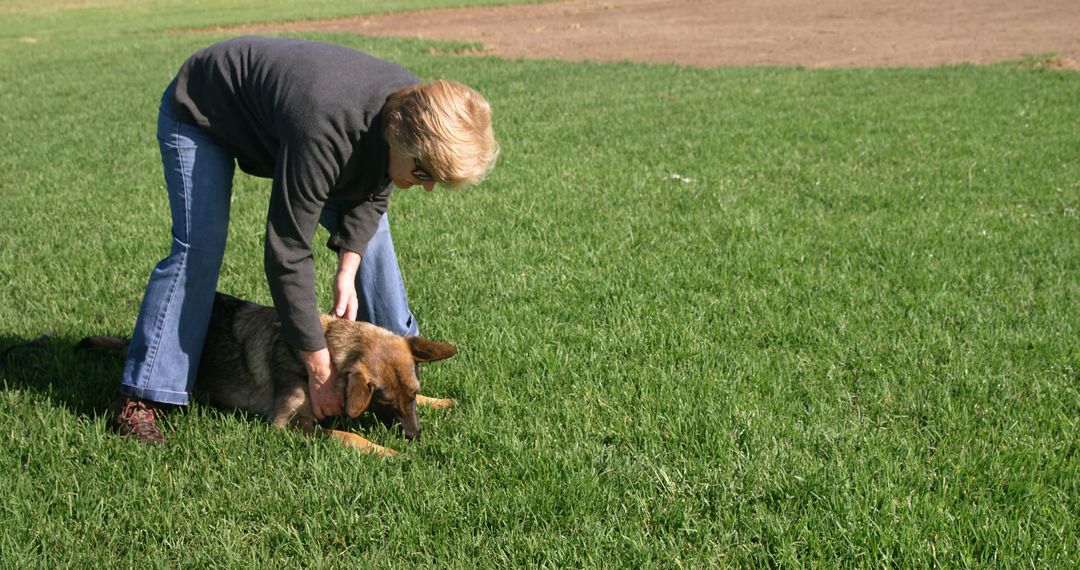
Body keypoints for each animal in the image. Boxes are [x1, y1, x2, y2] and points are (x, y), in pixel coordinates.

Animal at [79, 291, 457, 455]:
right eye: (387, 402)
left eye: (412, 396)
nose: (415, 436)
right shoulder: (285, 425)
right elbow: (346, 435)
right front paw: (384, 451)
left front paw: (441, 402)